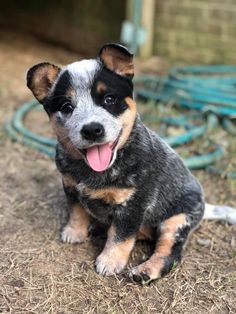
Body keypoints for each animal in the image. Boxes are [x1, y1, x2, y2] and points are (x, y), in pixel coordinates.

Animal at [26, 44, 205, 284]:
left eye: (109, 99)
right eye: (67, 106)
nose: (92, 129)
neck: (92, 172)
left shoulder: (132, 204)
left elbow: (120, 235)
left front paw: (109, 261)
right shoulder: (70, 186)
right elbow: (76, 211)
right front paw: (75, 231)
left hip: (177, 219)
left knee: (170, 252)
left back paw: (145, 270)